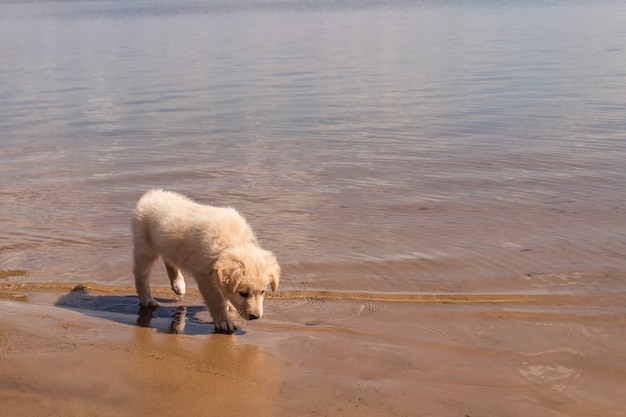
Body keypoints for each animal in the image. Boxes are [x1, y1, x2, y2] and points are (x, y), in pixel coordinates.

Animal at [130, 188, 280, 332]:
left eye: (262, 292)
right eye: (243, 293)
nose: (255, 316)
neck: (231, 242)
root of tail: (151, 194)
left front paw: (228, 305)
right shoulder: (205, 276)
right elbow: (216, 300)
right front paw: (224, 321)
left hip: (167, 245)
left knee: (170, 259)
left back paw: (178, 284)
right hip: (145, 246)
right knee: (141, 276)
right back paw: (148, 300)